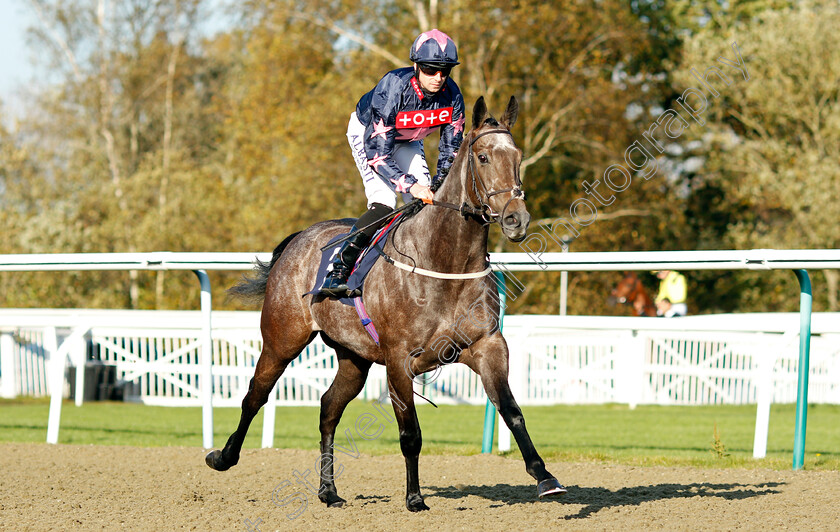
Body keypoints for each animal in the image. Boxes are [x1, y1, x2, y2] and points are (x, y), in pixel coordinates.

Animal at [207, 95, 568, 512]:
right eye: (482, 157)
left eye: (518, 156)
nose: (516, 218)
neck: (443, 261)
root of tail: (299, 238)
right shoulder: (399, 360)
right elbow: (410, 433)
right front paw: (414, 498)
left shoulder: (487, 345)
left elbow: (512, 411)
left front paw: (545, 477)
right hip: (282, 339)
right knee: (255, 395)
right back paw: (222, 456)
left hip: (354, 356)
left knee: (328, 408)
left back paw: (328, 490)